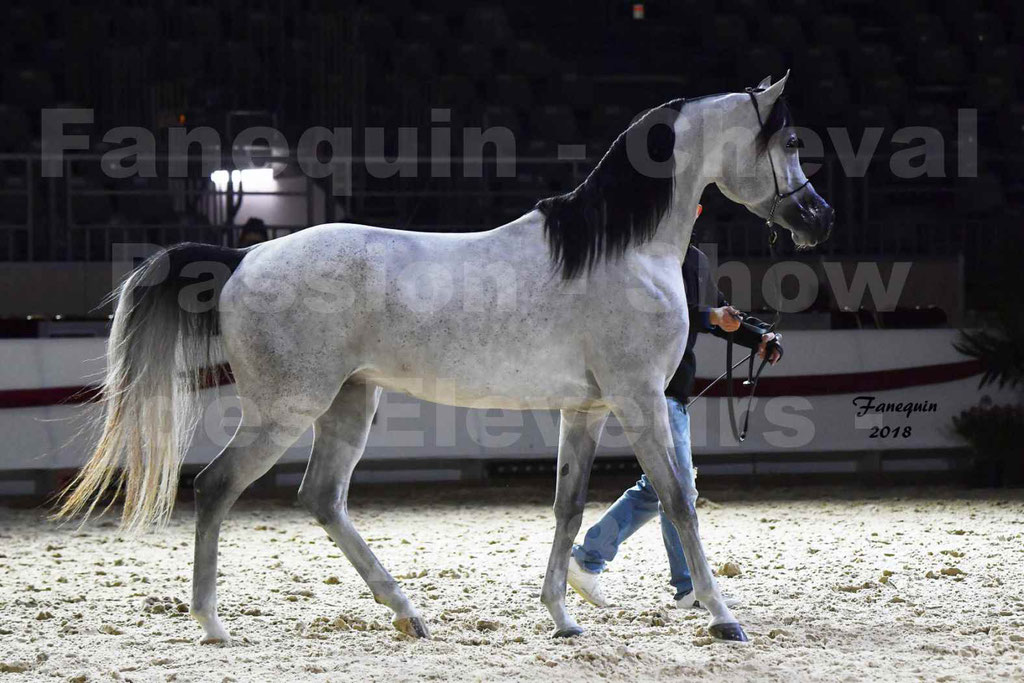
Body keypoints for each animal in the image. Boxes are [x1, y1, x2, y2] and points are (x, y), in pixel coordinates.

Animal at [58, 74, 831, 647]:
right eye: (791, 140)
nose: (818, 217)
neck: (622, 250)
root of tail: (243, 257)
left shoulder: (585, 409)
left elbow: (568, 505)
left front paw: (563, 615)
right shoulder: (639, 400)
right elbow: (678, 500)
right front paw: (723, 617)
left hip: (350, 401)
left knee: (322, 496)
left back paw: (406, 612)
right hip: (286, 409)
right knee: (217, 484)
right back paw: (214, 624)